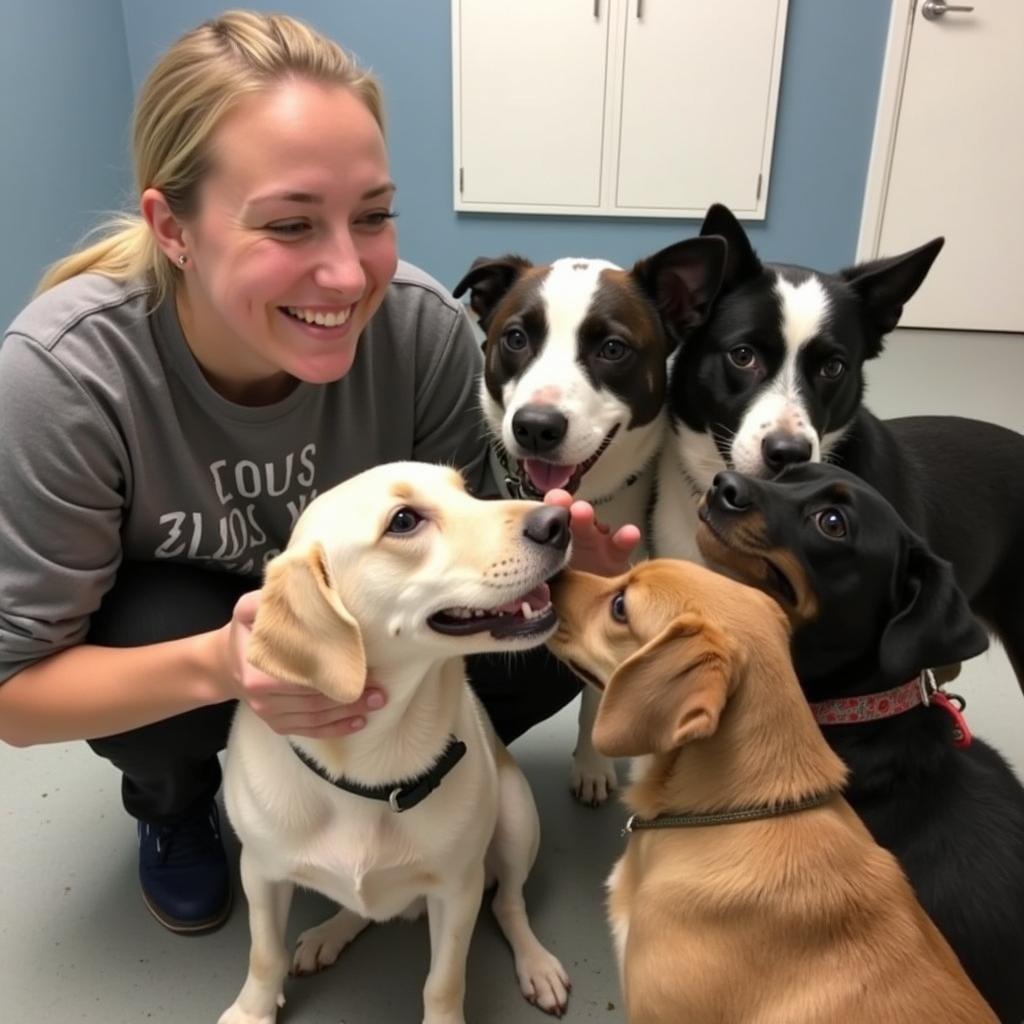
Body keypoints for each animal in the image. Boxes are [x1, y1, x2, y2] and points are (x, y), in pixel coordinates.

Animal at [220, 462, 577, 1024]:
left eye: (467, 492)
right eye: (404, 521)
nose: (558, 520)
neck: (371, 769)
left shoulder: (457, 891)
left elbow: (444, 983)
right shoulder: (259, 871)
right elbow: (263, 953)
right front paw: (251, 1010)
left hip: (517, 819)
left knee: (509, 903)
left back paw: (536, 964)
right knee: (361, 909)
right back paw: (329, 933)